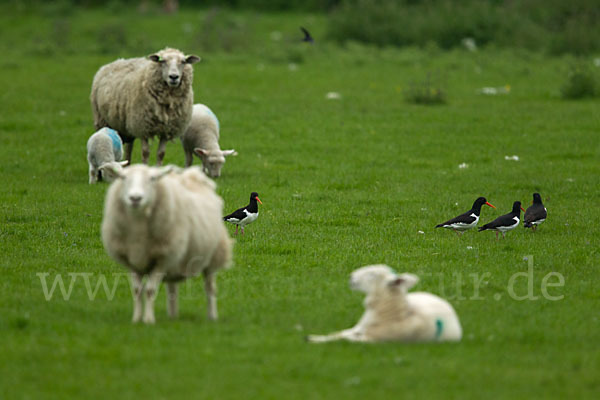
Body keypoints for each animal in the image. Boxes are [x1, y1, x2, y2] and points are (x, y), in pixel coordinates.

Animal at [99, 164, 231, 324]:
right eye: (123, 178)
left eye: (152, 179)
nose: (135, 198)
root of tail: (190, 176)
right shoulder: (132, 262)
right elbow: (137, 290)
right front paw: (136, 319)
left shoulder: (162, 259)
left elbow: (150, 290)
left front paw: (148, 320)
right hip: (174, 262)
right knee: (172, 289)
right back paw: (172, 316)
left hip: (212, 257)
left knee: (210, 287)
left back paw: (212, 316)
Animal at [308, 264, 462, 342]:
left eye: (372, 275)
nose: (351, 276)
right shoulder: (357, 328)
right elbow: (338, 334)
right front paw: (313, 337)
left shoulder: (371, 339)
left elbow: (343, 339)